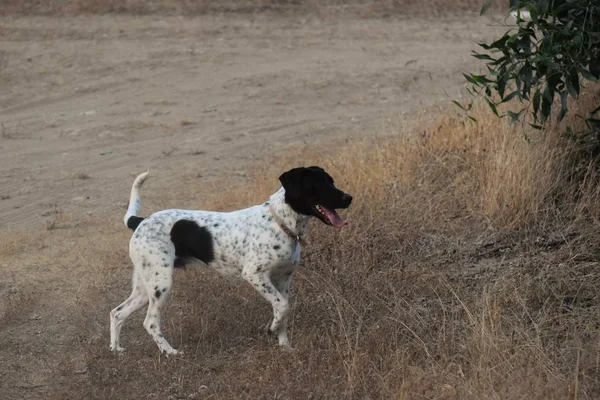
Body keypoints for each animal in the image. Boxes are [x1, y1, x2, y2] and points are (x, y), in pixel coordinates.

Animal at [109, 167, 352, 354]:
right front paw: (271, 329)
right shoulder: (254, 275)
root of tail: (139, 221)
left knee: (117, 312)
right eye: (318, 184)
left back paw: (116, 349)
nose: (349, 198)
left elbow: (283, 310)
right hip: (161, 285)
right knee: (150, 322)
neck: (280, 222)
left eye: (332, 181)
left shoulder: (283, 279)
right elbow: (282, 306)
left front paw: (284, 345)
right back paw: (170, 352)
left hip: (145, 286)